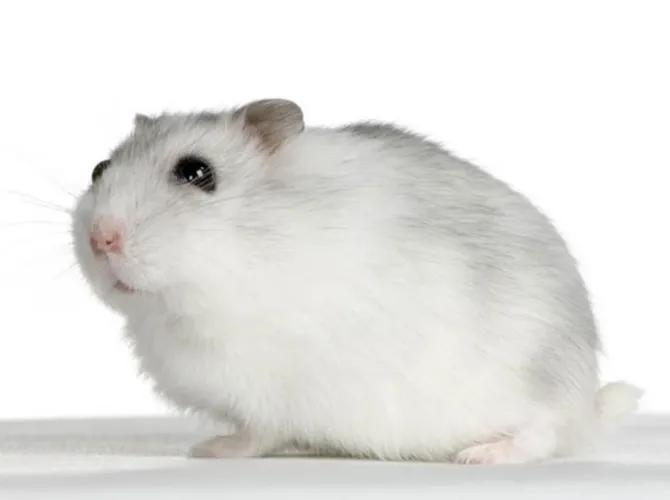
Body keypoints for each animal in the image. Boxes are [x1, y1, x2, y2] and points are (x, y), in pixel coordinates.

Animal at [72, 98, 641, 464]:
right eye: (99, 168)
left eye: (196, 173)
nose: (101, 239)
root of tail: (583, 400)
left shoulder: (265, 388)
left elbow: (255, 433)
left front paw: (209, 451)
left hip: (533, 387)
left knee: (544, 433)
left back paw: (481, 456)